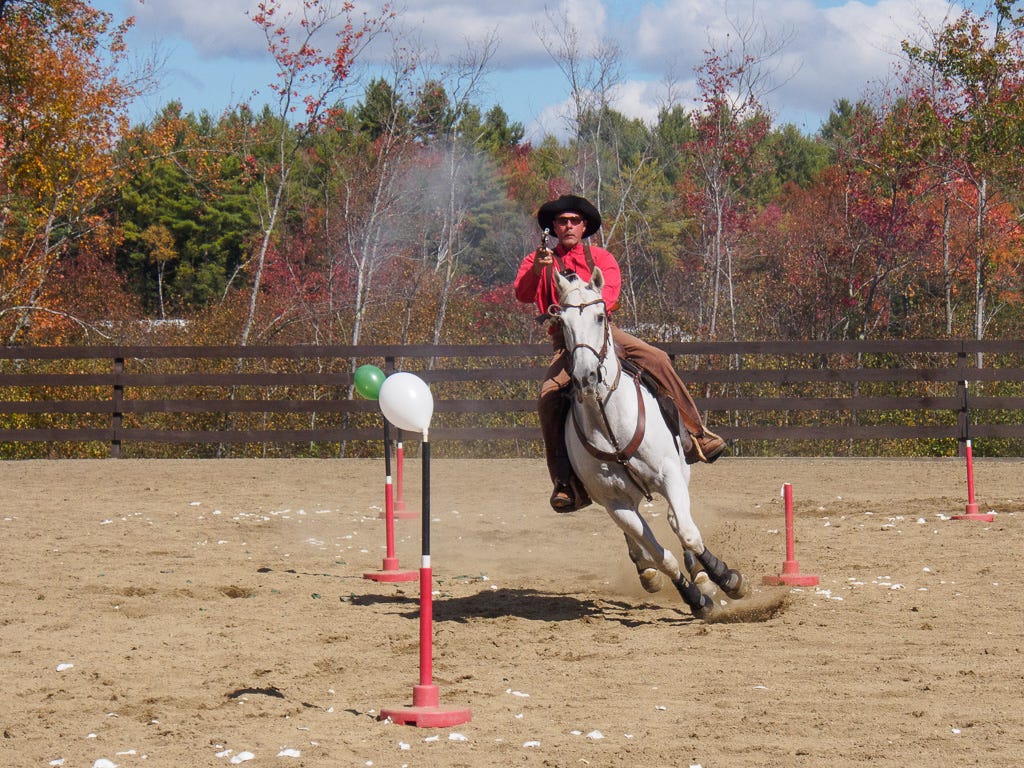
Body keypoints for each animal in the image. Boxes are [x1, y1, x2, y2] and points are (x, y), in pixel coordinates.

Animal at [557, 268, 749, 622]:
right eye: (562, 322)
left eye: (600, 316)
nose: (585, 377)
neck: (611, 424)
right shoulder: (615, 503)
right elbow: (662, 556)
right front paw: (695, 599)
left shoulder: (670, 474)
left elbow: (687, 532)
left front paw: (726, 577)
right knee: (642, 539)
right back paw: (649, 572)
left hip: (680, 472)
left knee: (678, 521)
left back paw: (703, 573)